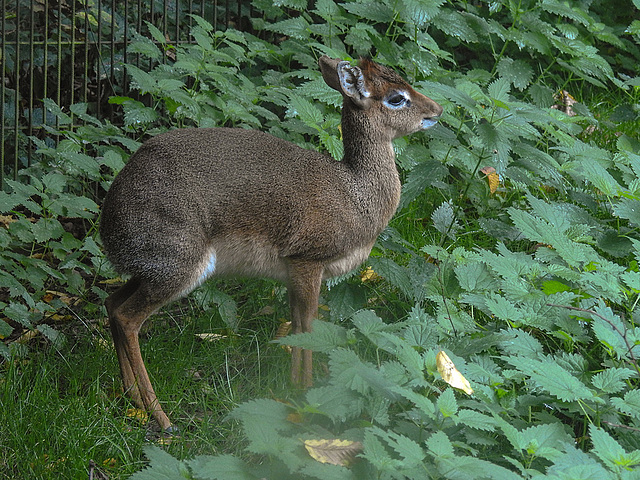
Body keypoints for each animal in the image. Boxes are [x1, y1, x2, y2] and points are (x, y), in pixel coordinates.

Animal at [100, 56, 442, 432]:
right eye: (396, 98)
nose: (437, 110)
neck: (355, 194)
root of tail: (109, 222)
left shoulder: (293, 272)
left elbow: (295, 324)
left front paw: (293, 389)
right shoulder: (308, 260)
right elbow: (308, 325)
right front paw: (307, 391)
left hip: (150, 269)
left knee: (111, 303)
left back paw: (132, 398)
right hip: (178, 265)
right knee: (128, 318)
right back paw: (161, 417)